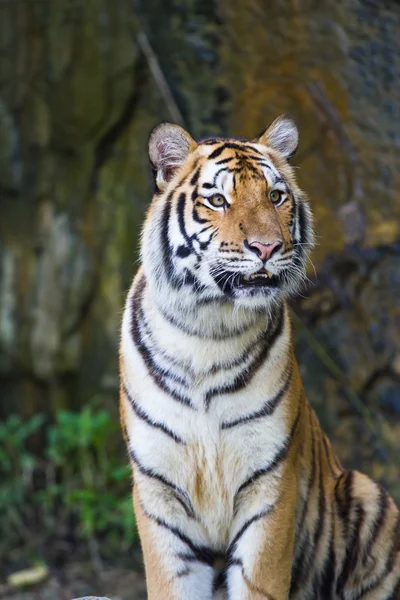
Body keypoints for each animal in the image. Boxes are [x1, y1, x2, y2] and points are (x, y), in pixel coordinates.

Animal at [119, 113, 400, 600]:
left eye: (275, 196)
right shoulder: (159, 492)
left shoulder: (270, 484)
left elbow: (260, 580)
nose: (267, 248)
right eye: (217, 200)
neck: (207, 330)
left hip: (371, 496)